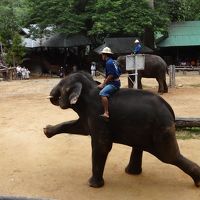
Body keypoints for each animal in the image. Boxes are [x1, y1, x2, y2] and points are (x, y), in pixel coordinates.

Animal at [43, 71, 200, 188]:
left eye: (62, 84)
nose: (52, 95)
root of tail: (170, 111)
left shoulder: (99, 116)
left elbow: (102, 145)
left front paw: (93, 185)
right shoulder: (89, 115)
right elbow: (80, 127)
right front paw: (46, 131)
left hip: (162, 129)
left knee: (169, 156)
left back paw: (197, 181)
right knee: (142, 148)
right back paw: (131, 172)